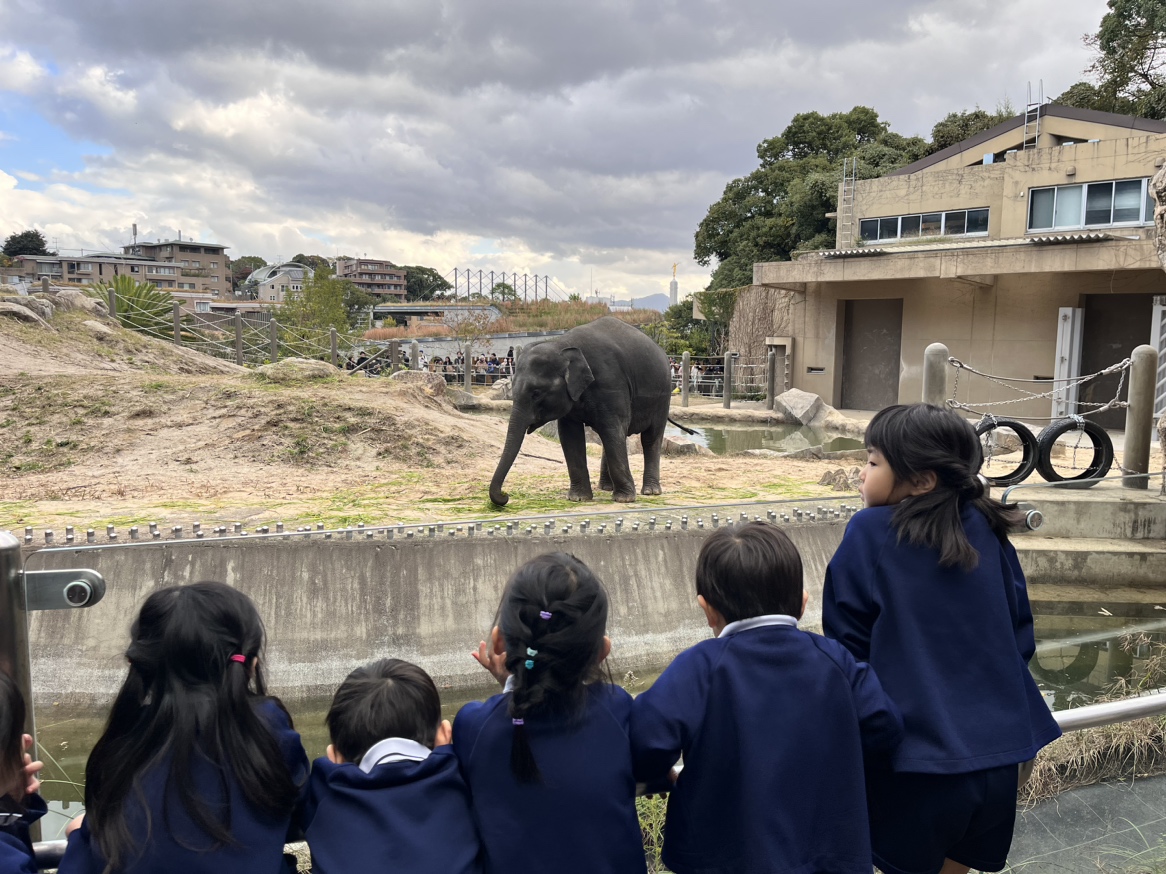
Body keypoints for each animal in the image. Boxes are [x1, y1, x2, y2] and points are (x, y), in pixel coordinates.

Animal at [489, 319, 676, 505]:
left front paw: (624, 499)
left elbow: (612, 429)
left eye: (536, 393)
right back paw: (606, 488)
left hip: (663, 396)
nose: (505, 495)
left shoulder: (611, 383)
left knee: (650, 437)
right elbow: (570, 435)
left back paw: (651, 491)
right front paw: (578, 498)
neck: (561, 344)